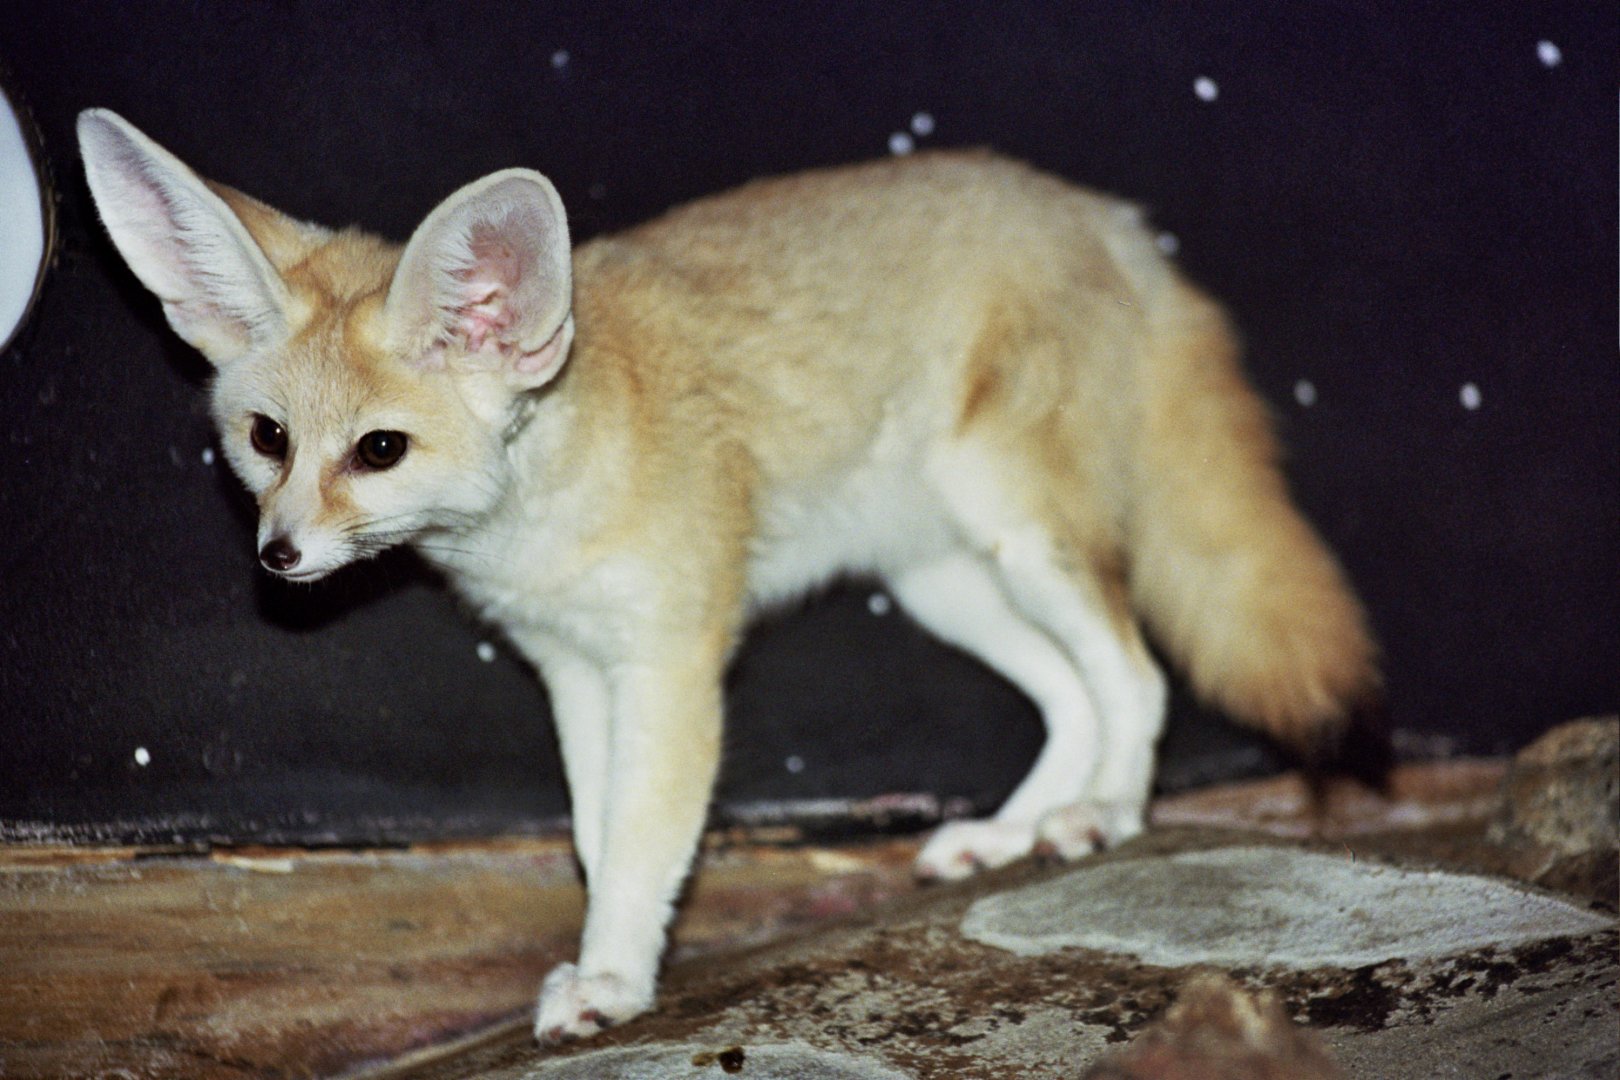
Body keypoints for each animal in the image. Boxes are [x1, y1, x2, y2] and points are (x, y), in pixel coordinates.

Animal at [76, 108, 1378, 1043]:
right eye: (268, 440)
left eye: (378, 451)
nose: (278, 556)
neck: (547, 502)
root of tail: (1110, 218)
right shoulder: (574, 669)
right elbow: (596, 835)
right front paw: (610, 952)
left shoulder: (672, 664)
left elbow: (646, 839)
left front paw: (612, 978)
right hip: (949, 581)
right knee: (1072, 694)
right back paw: (1015, 832)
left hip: (1023, 537)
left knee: (1138, 676)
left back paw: (1105, 812)